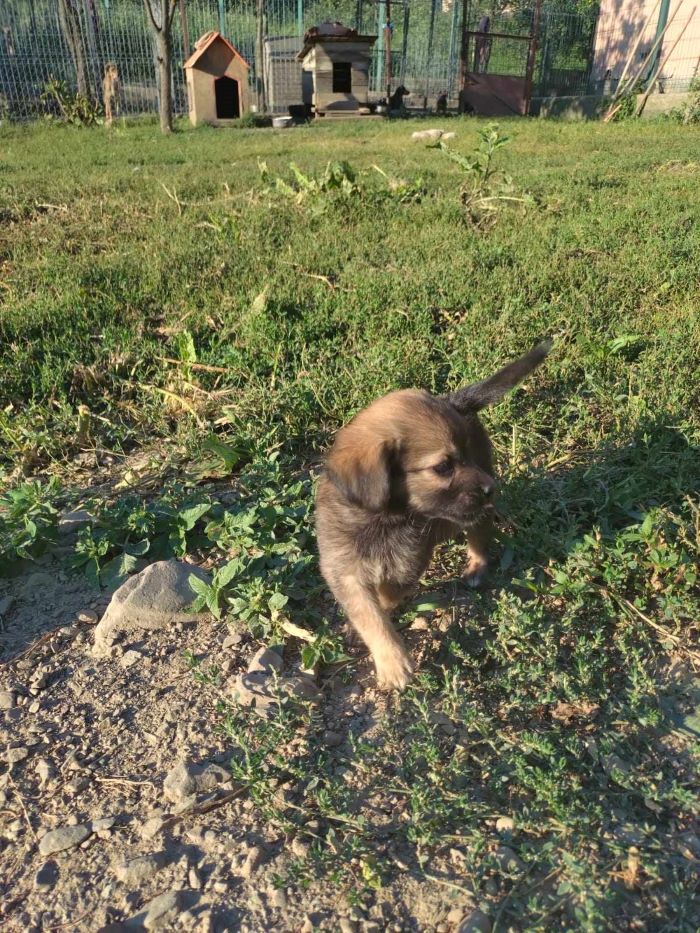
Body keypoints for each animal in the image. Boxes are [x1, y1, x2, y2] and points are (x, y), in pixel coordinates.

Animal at [318, 338, 552, 688]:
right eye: (443, 467)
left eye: (465, 458)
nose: (490, 488)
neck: (381, 521)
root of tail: (453, 399)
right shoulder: (344, 570)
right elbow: (370, 615)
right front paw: (390, 660)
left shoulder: (410, 561)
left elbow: (388, 593)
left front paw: (392, 649)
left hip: (475, 514)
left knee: (480, 535)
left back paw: (476, 567)